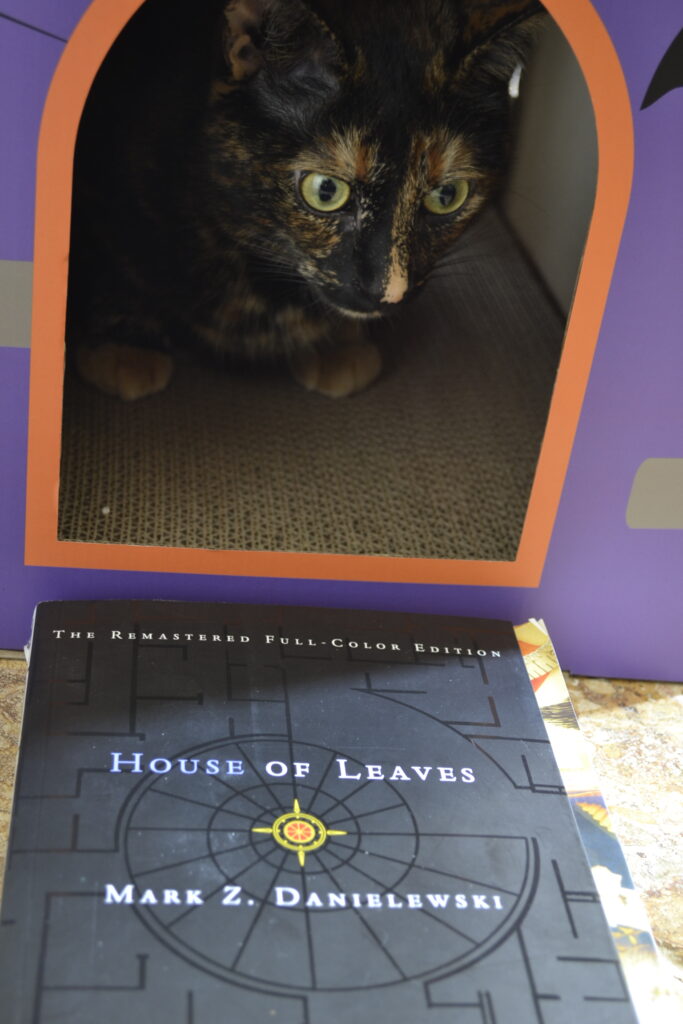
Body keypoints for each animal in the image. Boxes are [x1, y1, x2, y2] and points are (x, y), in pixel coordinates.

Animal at [68, 0, 540, 397]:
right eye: (325, 191)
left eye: (447, 195)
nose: (387, 292)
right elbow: (114, 267)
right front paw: (124, 346)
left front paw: (336, 346)